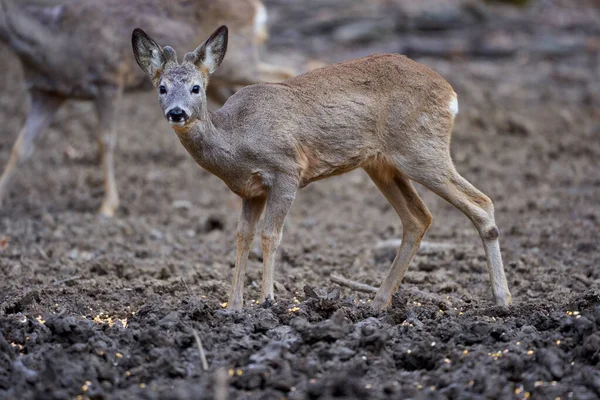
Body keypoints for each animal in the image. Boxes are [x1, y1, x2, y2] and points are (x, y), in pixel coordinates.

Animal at [0, 0, 292, 217]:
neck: (55, 43)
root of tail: (257, 9)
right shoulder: (47, 93)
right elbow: (20, 147)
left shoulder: (108, 79)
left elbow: (105, 141)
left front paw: (108, 206)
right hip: (221, 78)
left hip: (240, 61)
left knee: (287, 69)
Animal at [131, 26, 510, 310]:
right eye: (161, 88)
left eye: (196, 87)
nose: (176, 112)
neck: (236, 140)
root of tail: (451, 93)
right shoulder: (250, 191)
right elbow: (242, 236)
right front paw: (233, 306)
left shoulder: (287, 168)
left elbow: (271, 235)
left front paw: (267, 300)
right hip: (383, 165)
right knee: (419, 218)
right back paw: (378, 302)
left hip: (421, 149)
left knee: (482, 202)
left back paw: (503, 299)